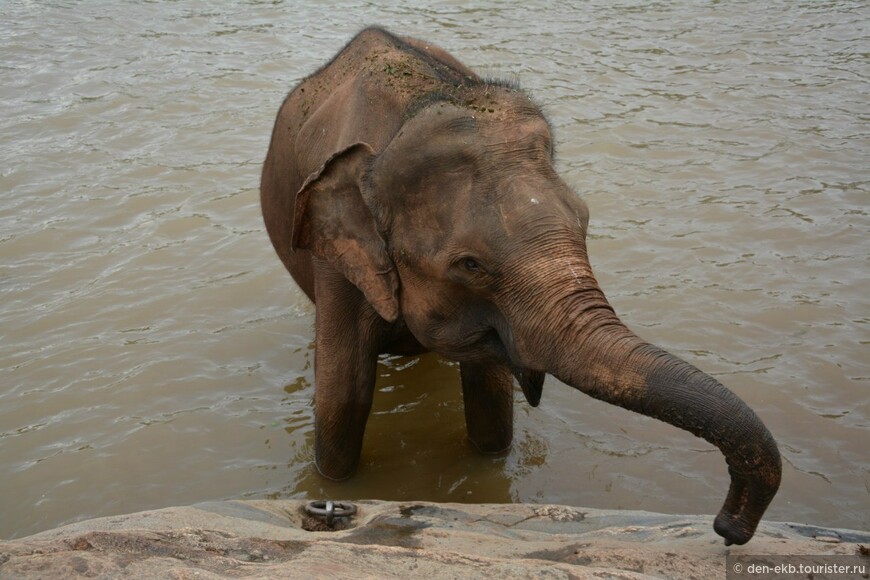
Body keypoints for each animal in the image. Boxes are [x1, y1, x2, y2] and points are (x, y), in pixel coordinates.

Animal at [258, 27, 784, 544]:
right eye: (469, 264)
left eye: (584, 222)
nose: (727, 528)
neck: (416, 106)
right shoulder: (335, 265)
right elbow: (342, 398)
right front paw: (334, 486)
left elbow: (491, 402)